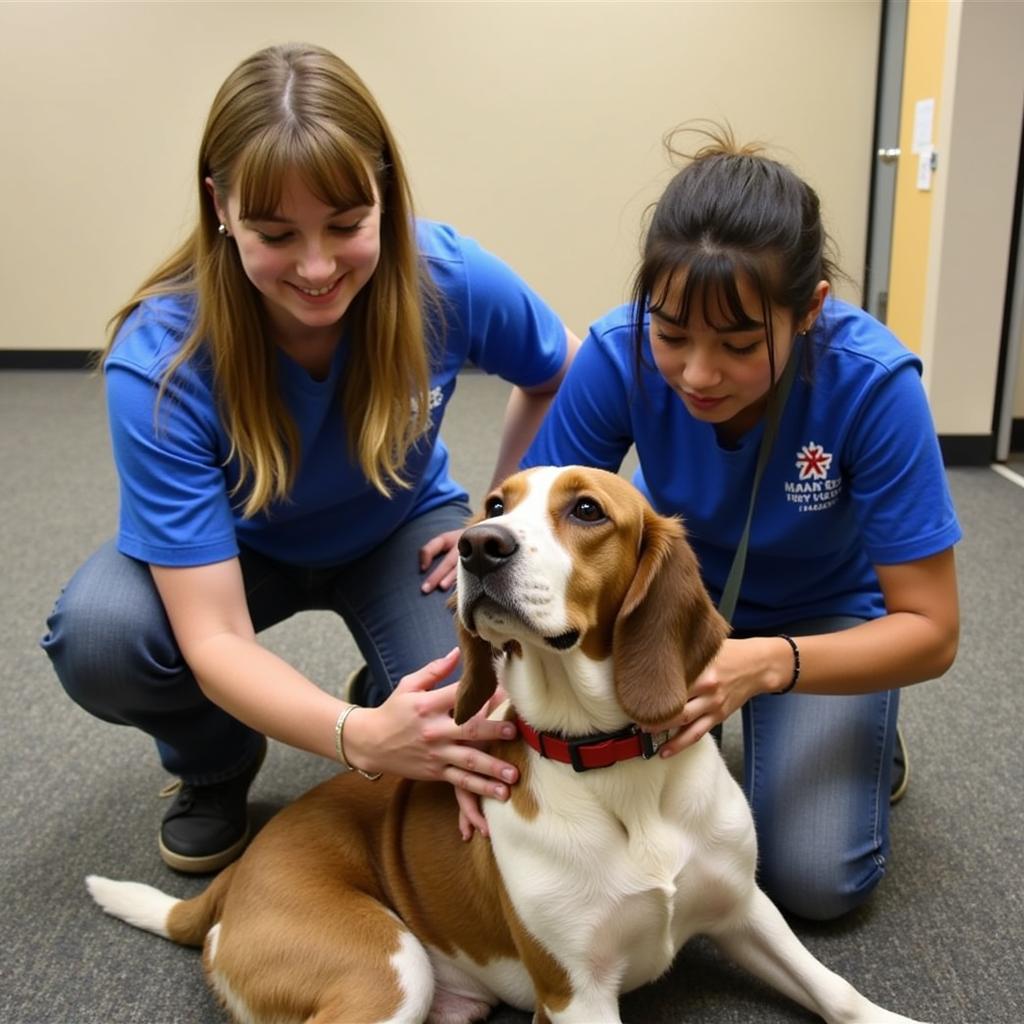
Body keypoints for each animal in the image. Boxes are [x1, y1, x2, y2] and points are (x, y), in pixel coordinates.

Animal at [83, 466, 925, 1024]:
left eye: (586, 510)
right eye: (494, 505)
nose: (477, 546)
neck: (613, 765)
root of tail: (236, 878)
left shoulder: (746, 908)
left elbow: (839, 992)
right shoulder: (577, 994)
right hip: (389, 973)